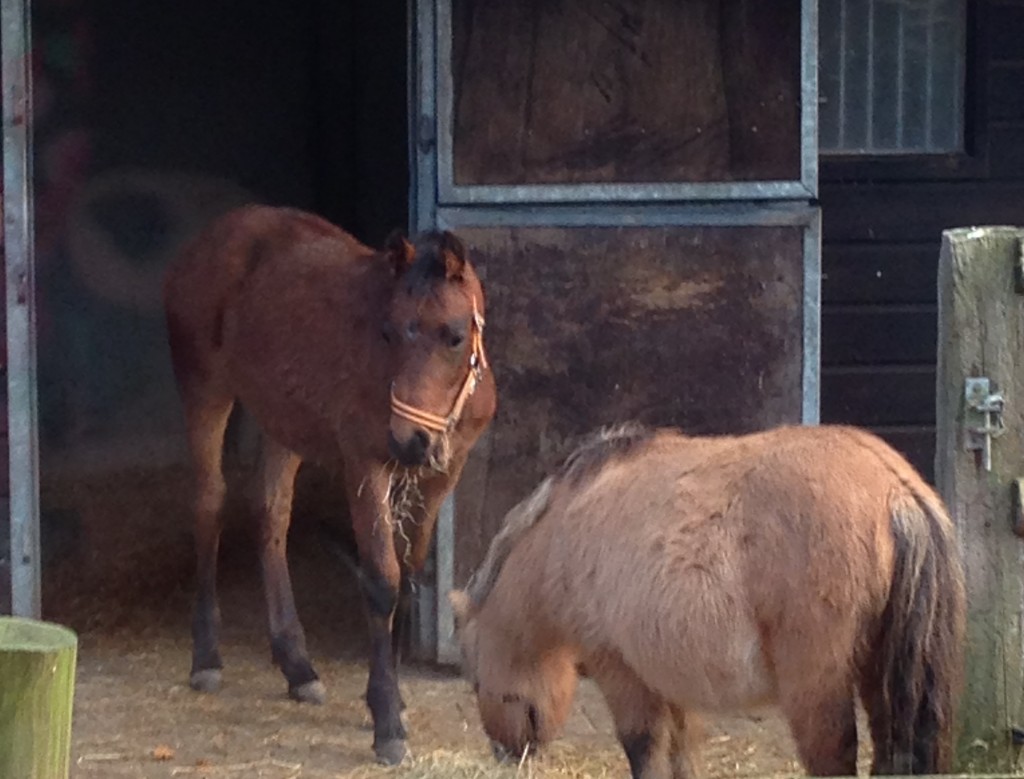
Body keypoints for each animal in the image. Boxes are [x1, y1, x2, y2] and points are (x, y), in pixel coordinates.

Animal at [162, 203, 495, 761]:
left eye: (453, 335)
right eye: (388, 331)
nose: (410, 441)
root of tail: (212, 235)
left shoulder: (444, 474)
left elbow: (410, 570)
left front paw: (396, 699)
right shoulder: (365, 465)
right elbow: (381, 578)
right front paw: (386, 721)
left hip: (281, 420)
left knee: (271, 515)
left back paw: (297, 666)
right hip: (204, 391)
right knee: (209, 503)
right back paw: (206, 657)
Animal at [450, 421, 966, 773]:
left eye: (476, 681)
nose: (505, 753)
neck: (567, 525)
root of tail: (896, 490)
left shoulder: (618, 668)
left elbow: (643, 750)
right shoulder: (671, 680)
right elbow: (682, 754)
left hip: (817, 691)